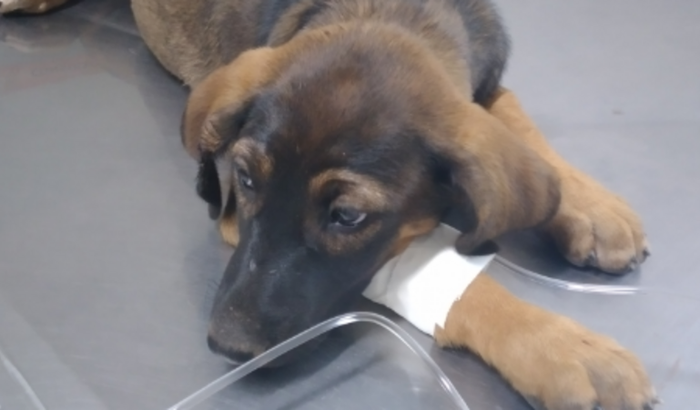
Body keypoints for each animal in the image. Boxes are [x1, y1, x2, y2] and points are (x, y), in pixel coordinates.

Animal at [1, 0, 656, 409]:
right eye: (244, 179)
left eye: (347, 217)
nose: (228, 347)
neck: (393, 12)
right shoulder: (235, 222)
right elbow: (460, 283)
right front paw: (557, 345)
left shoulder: (489, 85)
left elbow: (521, 130)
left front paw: (591, 206)